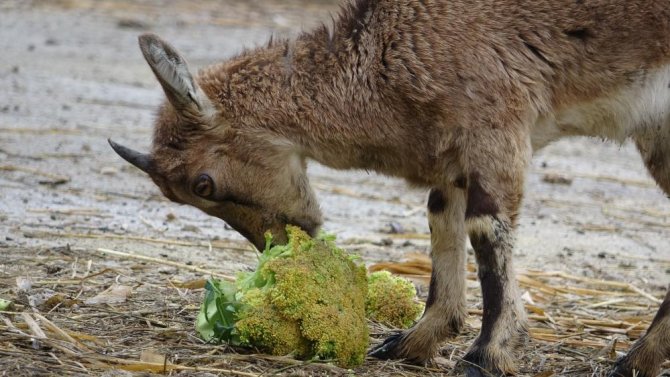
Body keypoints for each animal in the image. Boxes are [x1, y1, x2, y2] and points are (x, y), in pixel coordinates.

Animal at [110, 1, 670, 374]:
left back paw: (634, 358)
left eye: (203, 183)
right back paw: (638, 359)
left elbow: (486, 230)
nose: (277, 245)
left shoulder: (497, 123)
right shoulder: (455, 154)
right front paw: (414, 341)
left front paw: (487, 355)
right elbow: (442, 218)